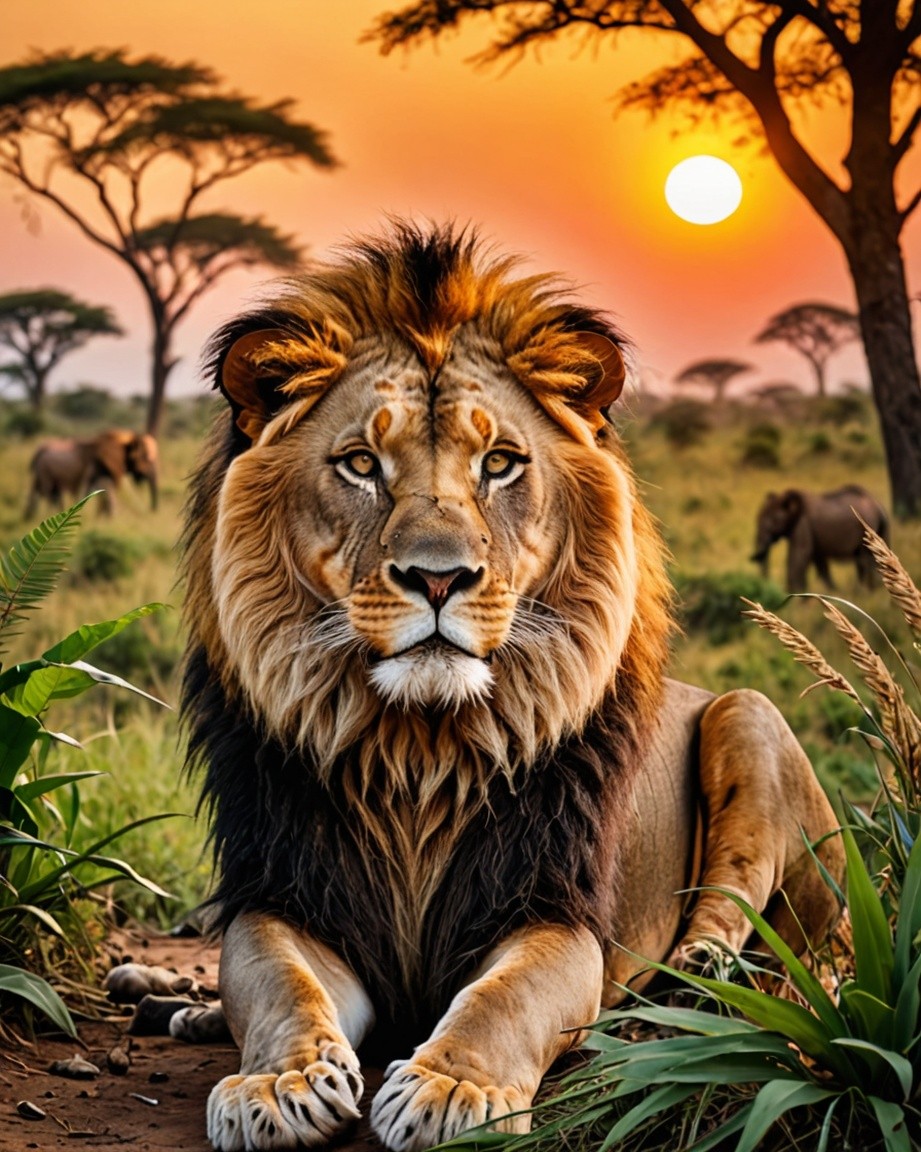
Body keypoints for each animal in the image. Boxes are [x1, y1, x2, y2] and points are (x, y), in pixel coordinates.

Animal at [143, 222, 844, 1151]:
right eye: (360, 464)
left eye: (501, 464)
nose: (438, 577)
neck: (416, 753)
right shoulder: (290, 895)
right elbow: (278, 986)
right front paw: (276, 1084)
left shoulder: (551, 912)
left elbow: (500, 1001)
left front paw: (450, 1089)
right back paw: (181, 1011)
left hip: (747, 720)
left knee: (755, 927)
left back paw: (683, 988)